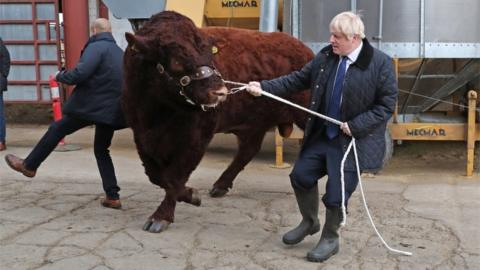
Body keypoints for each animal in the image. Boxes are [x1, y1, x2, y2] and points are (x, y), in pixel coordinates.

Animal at [122, 11, 314, 233]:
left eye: (210, 54)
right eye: (176, 61)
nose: (220, 92)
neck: (157, 111)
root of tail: (302, 49)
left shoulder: (197, 138)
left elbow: (175, 176)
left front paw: (162, 216)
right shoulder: (141, 134)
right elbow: (156, 175)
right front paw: (190, 194)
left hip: (305, 114)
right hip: (254, 124)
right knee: (247, 151)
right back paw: (220, 185)